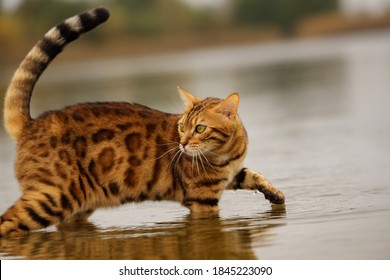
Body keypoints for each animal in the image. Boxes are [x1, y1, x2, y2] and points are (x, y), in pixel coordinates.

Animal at [1, 7, 284, 237]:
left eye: (200, 128)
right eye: (183, 127)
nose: (182, 144)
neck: (227, 153)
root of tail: (32, 123)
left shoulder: (233, 174)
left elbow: (254, 175)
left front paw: (274, 193)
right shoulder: (202, 199)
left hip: (77, 206)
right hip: (52, 197)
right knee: (7, 221)